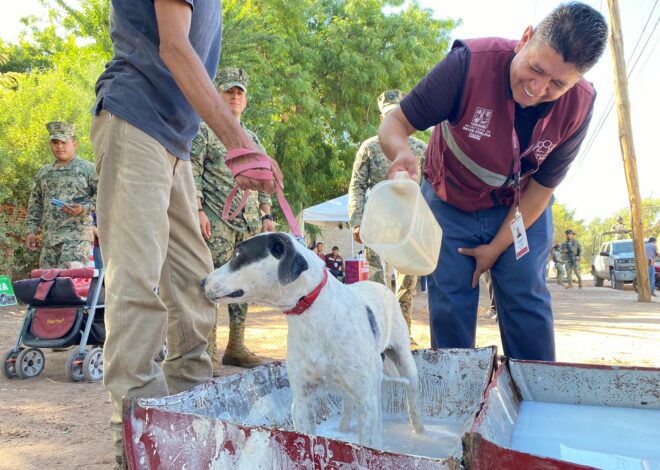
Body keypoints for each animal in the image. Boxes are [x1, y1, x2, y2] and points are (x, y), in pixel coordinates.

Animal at [201, 233, 426, 446]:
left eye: (238, 255)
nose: (201, 282)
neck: (312, 313)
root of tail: (380, 285)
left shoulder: (366, 398)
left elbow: (369, 445)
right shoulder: (301, 401)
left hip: (404, 364)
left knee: (412, 402)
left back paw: (420, 431)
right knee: (348, 404)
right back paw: (343, 428)